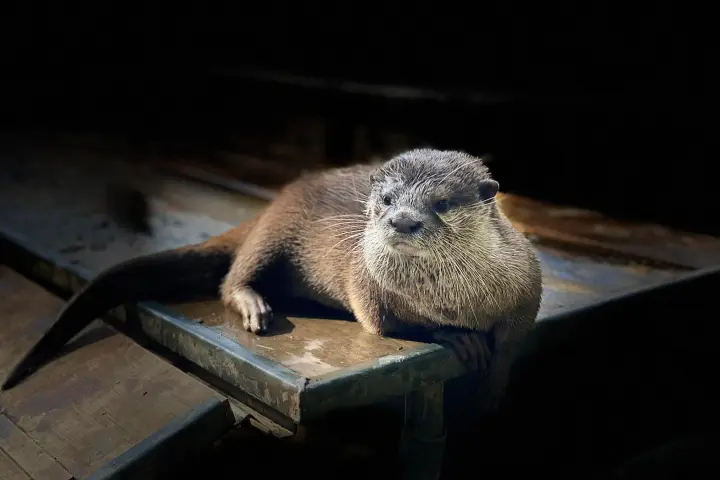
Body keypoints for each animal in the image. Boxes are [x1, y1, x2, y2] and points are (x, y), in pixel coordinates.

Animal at [2, 149, 543, 409]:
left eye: (443, 203)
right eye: (387, 198)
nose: (401, 220)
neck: (452, 297)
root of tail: (272, 201)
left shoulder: (526, 291)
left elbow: (513, 347)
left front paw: (491, 390)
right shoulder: (368, 289)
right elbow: (390, 325)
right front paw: (456, 337)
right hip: (273, 232)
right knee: (232, 277)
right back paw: (255, 305)